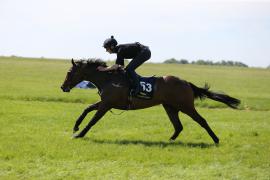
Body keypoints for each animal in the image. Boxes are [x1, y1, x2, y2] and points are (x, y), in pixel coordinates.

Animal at [61, 58, 240, 143]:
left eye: (69, 72)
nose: (63, 87)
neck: (108, 78)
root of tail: (186, 82)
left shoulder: (106, 105)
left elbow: (93, 120)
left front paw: (79, 134)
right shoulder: (106, 102)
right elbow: (86, 109)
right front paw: (75, 127)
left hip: (186, 106)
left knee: (201, 121)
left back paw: (216, 140)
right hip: (170, 107)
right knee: (178, 126)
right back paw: (169, 141)